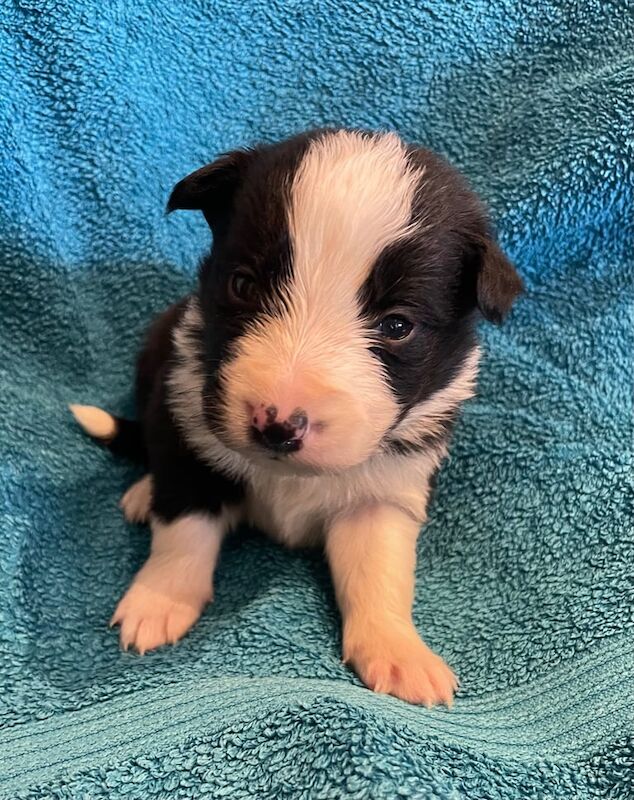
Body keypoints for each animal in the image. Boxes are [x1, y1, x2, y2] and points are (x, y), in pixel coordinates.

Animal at [71, 130, 520, 708]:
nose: (278, 425)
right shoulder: (184, 420)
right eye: (242, 285)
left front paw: (398, 651)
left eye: (397, 325)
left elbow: (379, 570)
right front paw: (159, 600)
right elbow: (184, 529)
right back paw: (143, 493)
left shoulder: (384, 489)